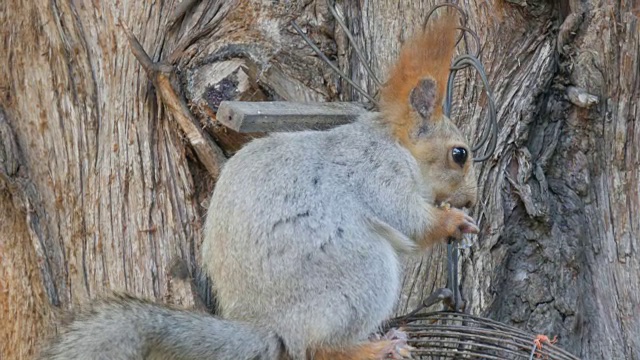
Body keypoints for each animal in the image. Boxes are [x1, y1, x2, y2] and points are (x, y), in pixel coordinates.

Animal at [40, 11, 478, 360]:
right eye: (460, 154)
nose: (472, 201)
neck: (396, 146)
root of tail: (270, 326)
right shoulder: (376, 171)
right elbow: (406, 219)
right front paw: (453, 222)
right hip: (362, 273)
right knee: (318, 348)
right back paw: (375, 349)